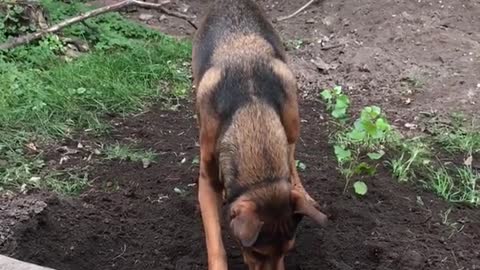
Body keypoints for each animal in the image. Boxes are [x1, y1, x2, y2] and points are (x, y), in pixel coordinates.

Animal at [191, 1, 326, 268]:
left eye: (288, 250)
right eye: (256, 253)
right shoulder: (208, 177)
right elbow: (215, 241)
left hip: (292, 118)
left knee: (292, 155)